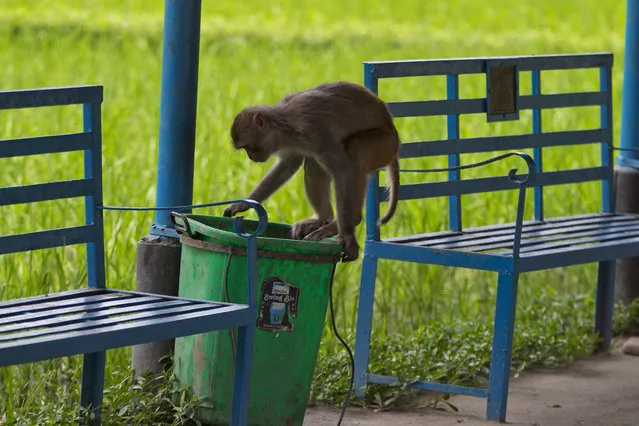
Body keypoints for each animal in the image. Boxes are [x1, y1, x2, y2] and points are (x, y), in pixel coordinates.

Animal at [221, 79, 400, 260]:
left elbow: (344, 170)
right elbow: (289, 165)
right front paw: (242, 205)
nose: (251, 157)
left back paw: (349, 221)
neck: (285, 125)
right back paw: (322, 218)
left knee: (354, 150)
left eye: (247, 147)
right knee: (314, 163)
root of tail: (395, 140)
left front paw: (348, 236)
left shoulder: (316, 130)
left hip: (383, 145)